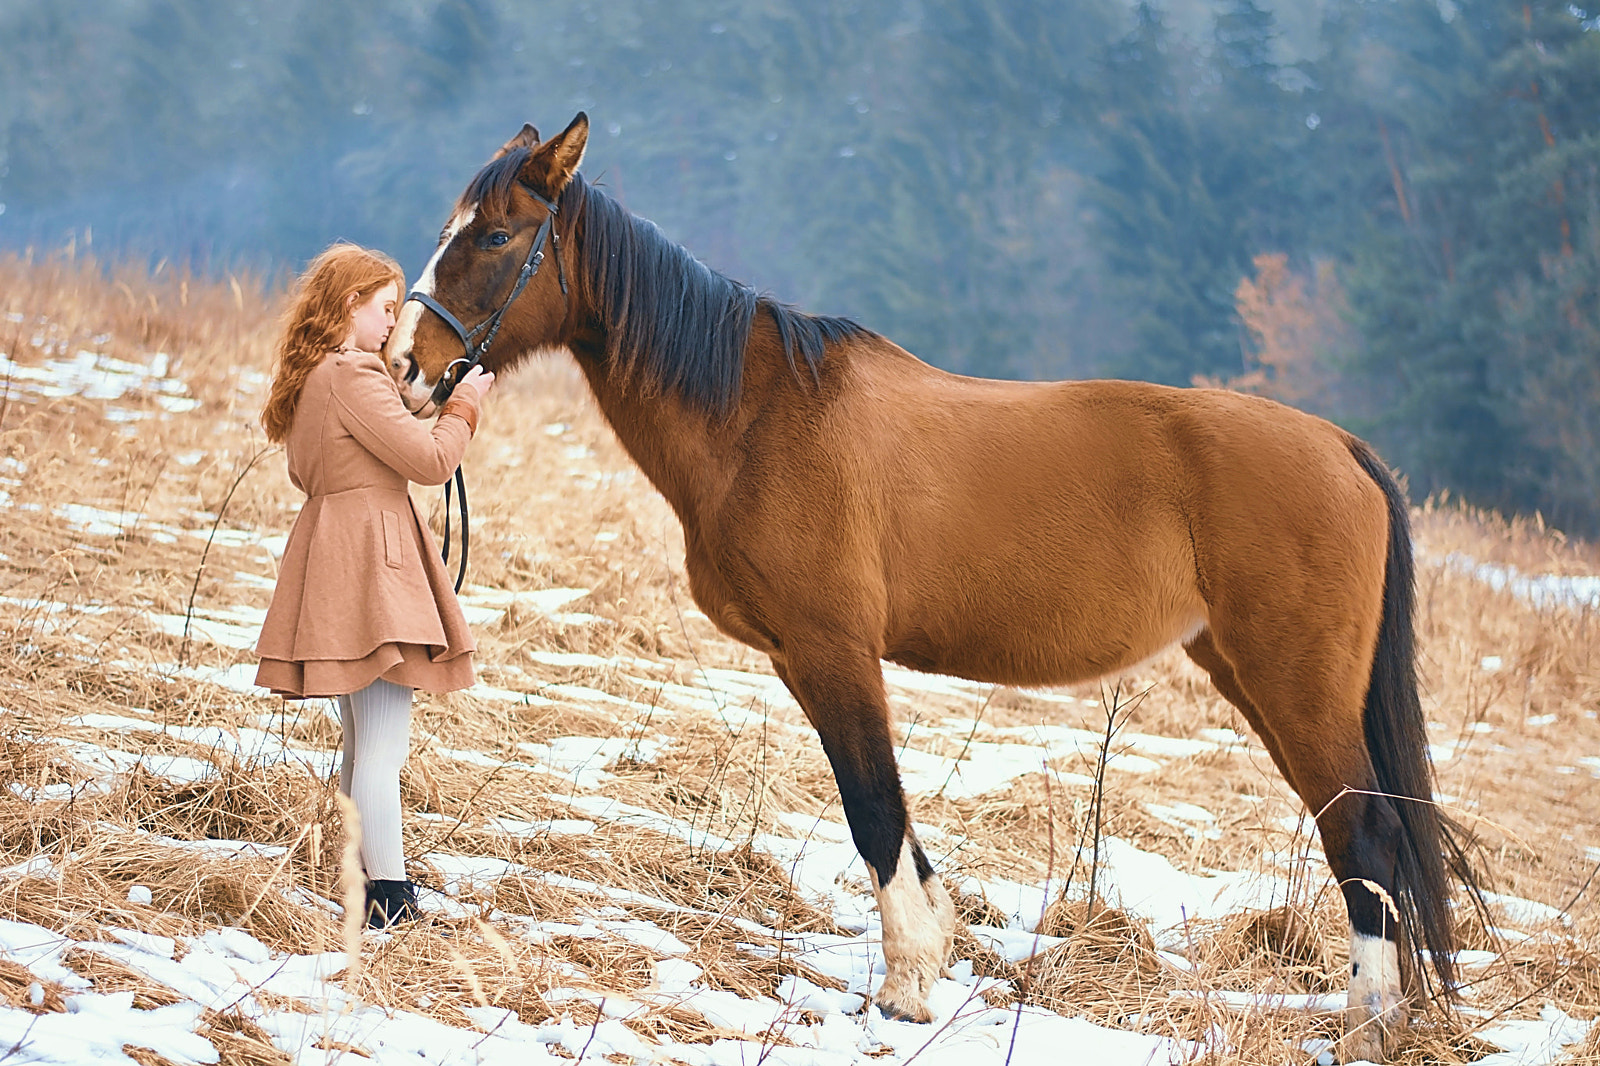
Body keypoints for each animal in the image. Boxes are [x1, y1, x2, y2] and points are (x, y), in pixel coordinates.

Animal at [384, 113, 1476, 1063]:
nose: (403, 364)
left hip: (1296, 690)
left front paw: (908, 985)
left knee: (1368, 838)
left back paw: (1370, 1028)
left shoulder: (834, 649)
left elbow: (872, 805)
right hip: (1257, 682)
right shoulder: (802, 660)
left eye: (494, 235)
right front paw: (938, 950)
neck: (758, 415)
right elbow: (893, 816)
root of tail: (1342, 447)